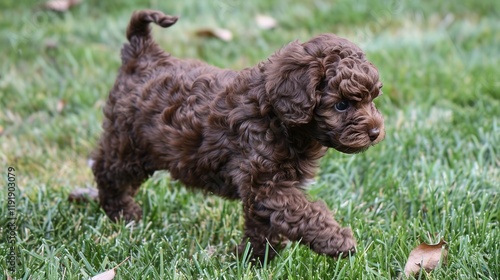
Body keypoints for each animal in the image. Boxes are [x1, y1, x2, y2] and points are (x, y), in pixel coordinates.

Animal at [92, 9, 384, 262]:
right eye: (341, 105)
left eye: (371, 99)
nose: (375, 132)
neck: (274, 115)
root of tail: (142, 52)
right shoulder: (266, 185)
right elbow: (303, 212)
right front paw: (337, 240)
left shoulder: (263, 190)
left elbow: (264, 227)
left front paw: (253, 259)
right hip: (130, 144)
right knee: (106, 170)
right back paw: (122, 213)